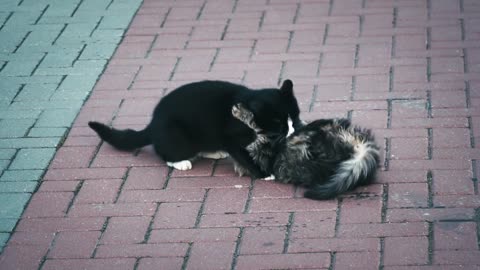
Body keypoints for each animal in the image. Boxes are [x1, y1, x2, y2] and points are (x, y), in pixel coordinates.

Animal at [88, 79, 302, 178]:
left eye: (294, 117)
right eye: (279, 124)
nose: (292, 131)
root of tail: (153, 122)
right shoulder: (231, 139)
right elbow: (244, 156)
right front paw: (264, 173)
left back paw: (213, 152)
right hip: (177, 136)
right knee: (164, 152)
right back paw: (180, 162)